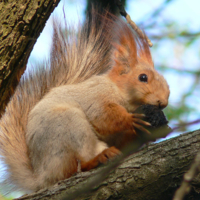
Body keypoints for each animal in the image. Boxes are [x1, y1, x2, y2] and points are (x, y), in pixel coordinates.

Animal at [0, 10, 170, 192]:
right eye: (143, 77)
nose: (163, 102)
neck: (118, 90)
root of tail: (41, 177)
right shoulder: (95, 96)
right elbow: (102, 116)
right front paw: (131, 120)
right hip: (67, 126)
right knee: (74, 168)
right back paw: (98, 159)